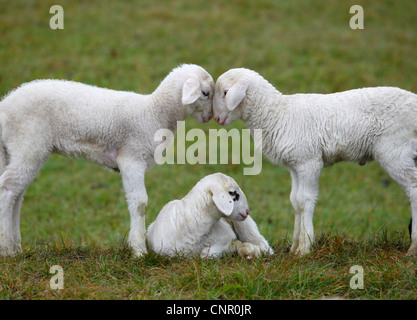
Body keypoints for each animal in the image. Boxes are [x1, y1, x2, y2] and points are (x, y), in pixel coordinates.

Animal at [0, 63, 214, 256]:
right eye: (205, 93)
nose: (211, 116)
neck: (153, 114)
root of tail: (4, 107)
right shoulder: (131, 159)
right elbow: (139, 203)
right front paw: (139, 250)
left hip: (22, 149)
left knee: (18, 193)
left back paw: (16, 248)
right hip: (28, 142)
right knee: (8, 189)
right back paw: (6, 248)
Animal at [213, 67, 416, 255]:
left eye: (226, 92)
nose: (217, 118)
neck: (277, 114)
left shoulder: (309, 162)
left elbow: (304, 200)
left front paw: (305, 248)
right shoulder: (295, 165)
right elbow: (295, 200)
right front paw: (294, 248)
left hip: (394, 150)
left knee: (413, 188)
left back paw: (413, 248)